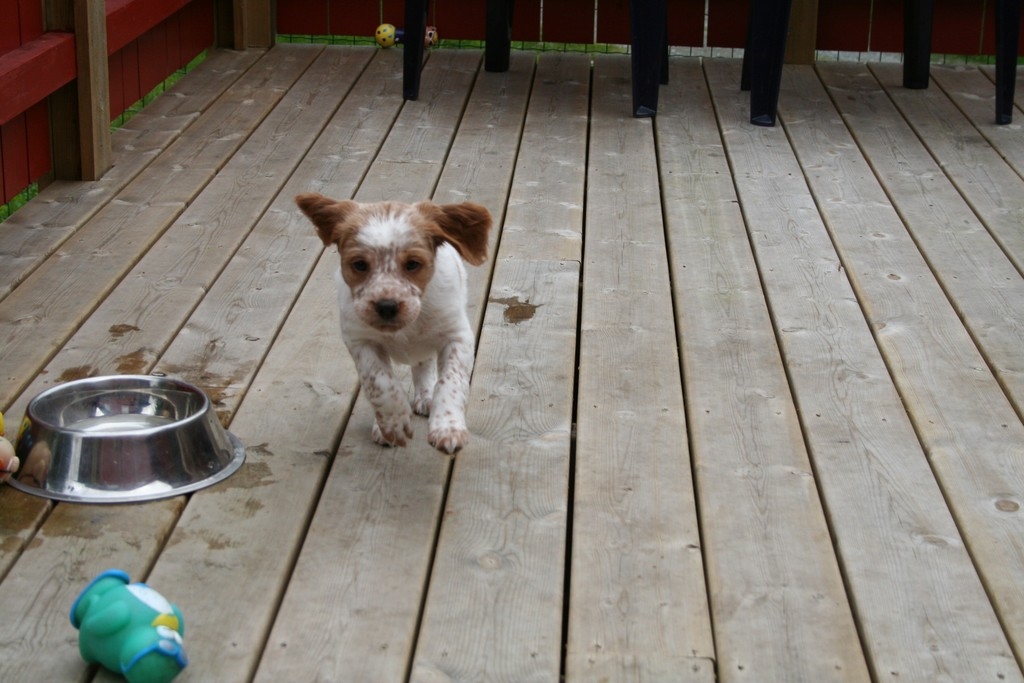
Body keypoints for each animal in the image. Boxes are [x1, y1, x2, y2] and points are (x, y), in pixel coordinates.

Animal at [296, 193, 492, 453]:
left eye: (412, 264)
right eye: (360, 264)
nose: (387, 306)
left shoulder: (456, 335)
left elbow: (451, 381)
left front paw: (448, 427)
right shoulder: (360, 340)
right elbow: (380, 381)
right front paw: (393, 423)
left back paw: (426, 397)